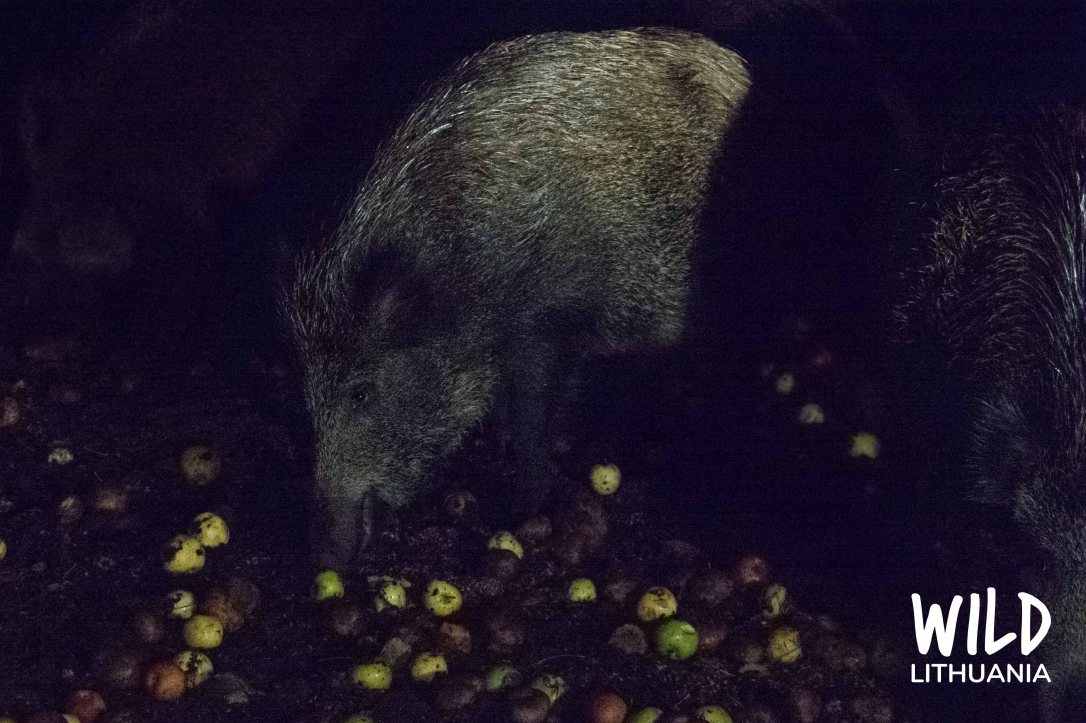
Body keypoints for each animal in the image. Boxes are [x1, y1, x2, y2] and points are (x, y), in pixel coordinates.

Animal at [288, 28, 752, 567]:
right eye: (308, 400)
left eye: (360, 391)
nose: (322, 557)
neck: (462, 274)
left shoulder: (545, 324)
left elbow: (531, 418)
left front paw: (514, 505)